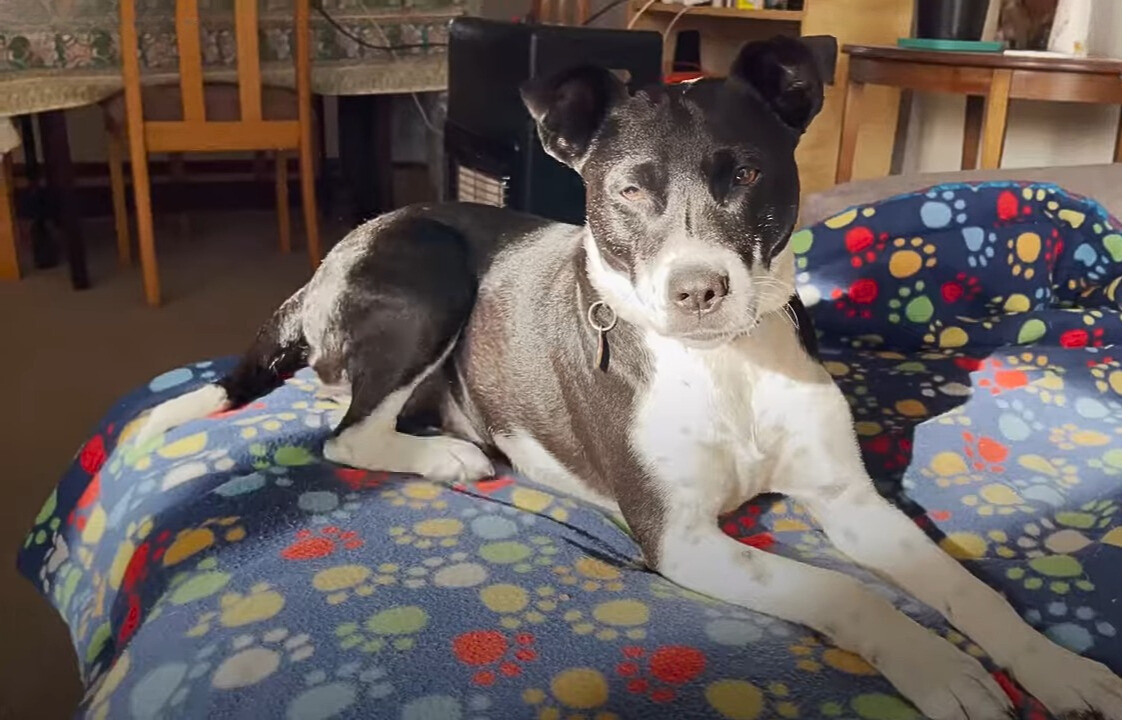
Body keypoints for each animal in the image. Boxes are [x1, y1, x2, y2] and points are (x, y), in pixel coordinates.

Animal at [133, 37, 1122, 717]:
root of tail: (320, 271)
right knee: (347, 434)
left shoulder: (851, 501)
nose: (698, 291)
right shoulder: (679, 538)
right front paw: (938, 666)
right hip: (431, 274)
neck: (723, 362)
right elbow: (842, 589)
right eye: (631, 192)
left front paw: (1056, 665)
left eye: (747, 172)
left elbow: (964, 586)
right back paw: (449, 456)